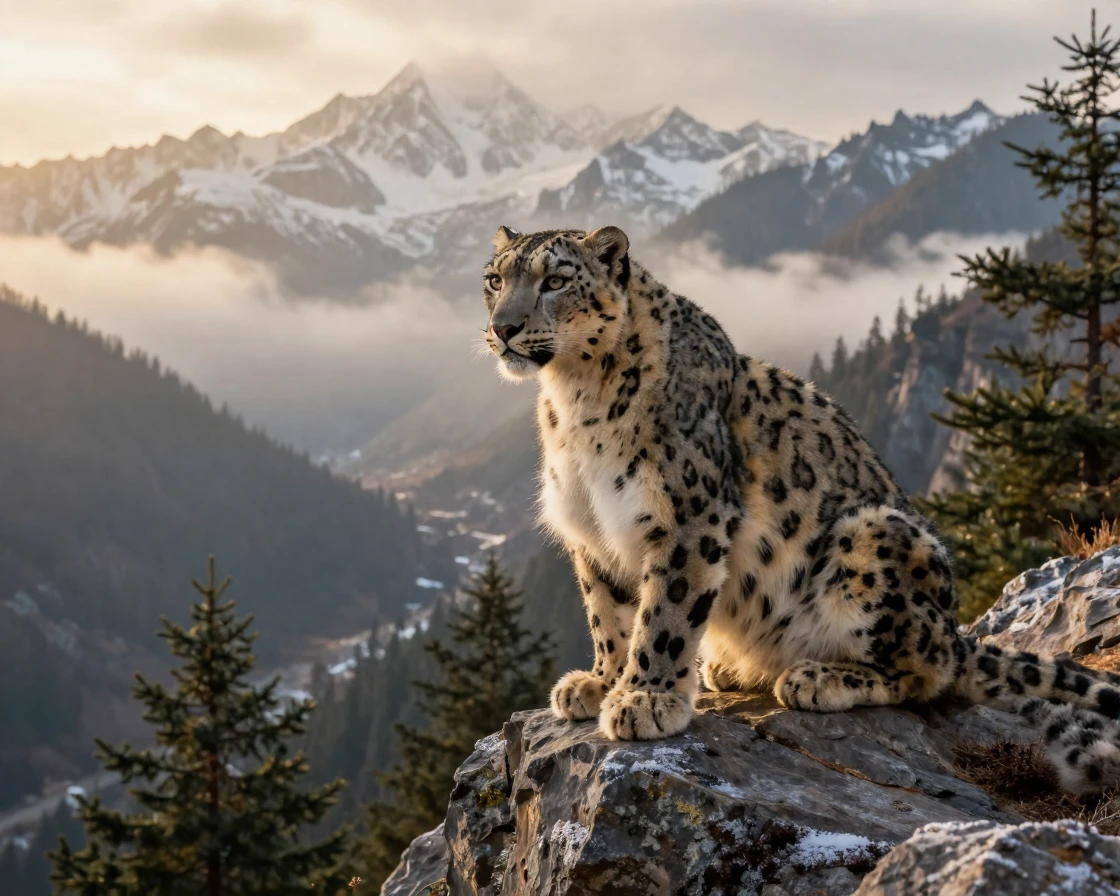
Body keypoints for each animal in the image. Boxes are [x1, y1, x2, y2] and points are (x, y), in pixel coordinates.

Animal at [480, 223, 1120, 796]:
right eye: (495, 279)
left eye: (556, 280)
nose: (503, 327)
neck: (575, 400)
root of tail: (953, 625)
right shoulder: (591, 531)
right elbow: (607, 614)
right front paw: (599, 683)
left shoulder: (687, 517)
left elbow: (664, 613)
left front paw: (645, 698)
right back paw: (728, 667)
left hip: (872, 538)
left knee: (927, 670)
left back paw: (818, 676)